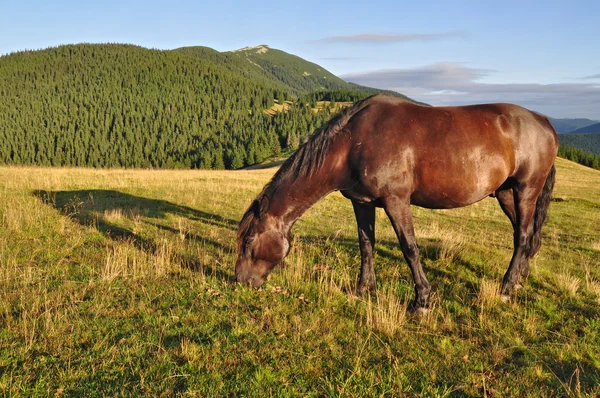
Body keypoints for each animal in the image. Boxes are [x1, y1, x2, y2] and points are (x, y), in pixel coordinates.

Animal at [234, 93, 556, 310]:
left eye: (249, 241)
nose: (240, 280)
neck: (352, 143)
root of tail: (543, 122)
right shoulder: (361, 202)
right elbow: (366, 245)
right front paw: (363, 289)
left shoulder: (396, 201)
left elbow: (409, 248)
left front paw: (422, 300)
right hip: (505, 192)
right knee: (524, 234)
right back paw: (520, 276)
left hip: (527, 189)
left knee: (522, 235)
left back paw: (506, 287)